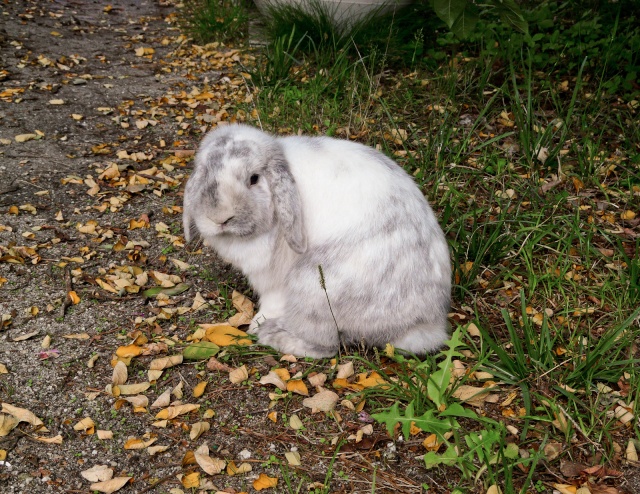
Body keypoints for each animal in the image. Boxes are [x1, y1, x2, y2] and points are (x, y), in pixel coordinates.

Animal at [181, 122, 450, 356]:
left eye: (254, 178)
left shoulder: (274, 281)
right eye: (204, 173)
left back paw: (272, 335)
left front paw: (257, 322)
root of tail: (425, 326)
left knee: (326, 346)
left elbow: (271, 302)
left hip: (312, 289)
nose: (220, 217)